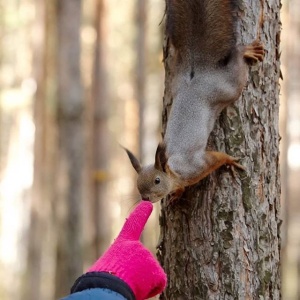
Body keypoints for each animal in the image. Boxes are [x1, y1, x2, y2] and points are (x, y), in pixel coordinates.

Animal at [123, 0, 262, 204]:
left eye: (157, 180)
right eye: (137, 183)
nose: (146, 198)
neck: (173, 170)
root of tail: (196, 74)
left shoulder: (197, 165)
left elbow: (217, 157)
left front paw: (230, 161)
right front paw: (177, 194)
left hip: (228, 88)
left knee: (237, 65)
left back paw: (245, 51)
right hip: (175, 79)